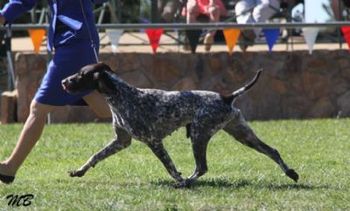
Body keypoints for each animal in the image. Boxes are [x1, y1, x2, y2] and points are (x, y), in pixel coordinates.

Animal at [62, 62, 298, 188]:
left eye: (81, 75)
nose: (63, 81)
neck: (121, 95)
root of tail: (226, 97)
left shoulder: (153, 141)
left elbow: (170, 166)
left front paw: (178, 178)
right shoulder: (121, 141)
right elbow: (95, 156)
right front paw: (80, 171)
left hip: (199, 135)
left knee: (201, 167)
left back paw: (185, 183)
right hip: (242, 135)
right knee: (272, 151)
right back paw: (290, 173)